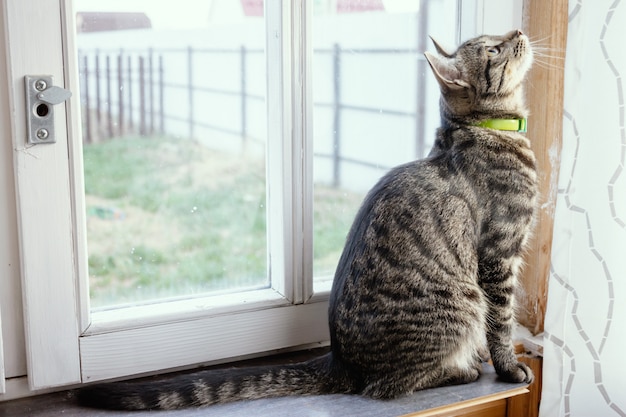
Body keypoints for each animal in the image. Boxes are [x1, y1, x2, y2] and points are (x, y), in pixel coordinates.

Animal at [78, 29, 532, 410]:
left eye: (496, 37)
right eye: (493, 49)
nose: (518, 31)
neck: (490, 129)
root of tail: (340, 361)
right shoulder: (500, 254)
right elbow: (502, 322)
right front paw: (508, 367)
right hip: (462, 304)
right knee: (388, 385)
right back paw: (462, 368)